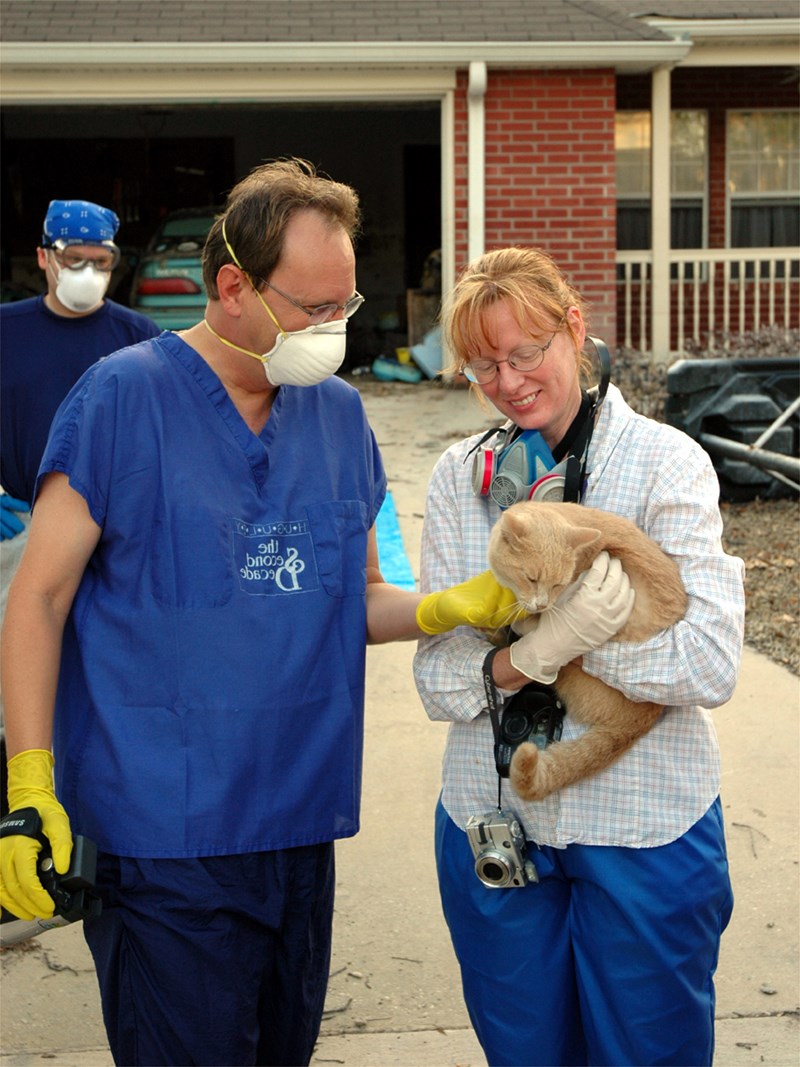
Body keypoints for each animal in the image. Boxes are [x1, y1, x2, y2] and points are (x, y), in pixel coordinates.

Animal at [488, 501, 691, 802]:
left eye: (558, 584)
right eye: (531, 578)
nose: (542, 604)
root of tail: (642, 718)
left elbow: (529, 622)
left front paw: (523, 620)